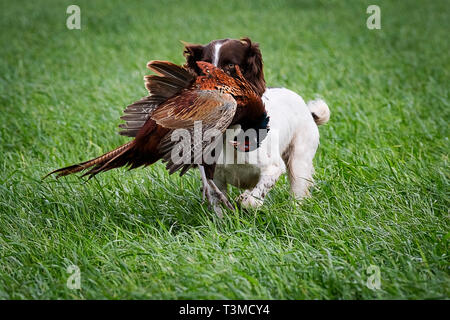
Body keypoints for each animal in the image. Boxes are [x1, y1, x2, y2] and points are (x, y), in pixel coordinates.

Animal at [183, 38, 330, 210]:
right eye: (203, 64)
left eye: (230, 65)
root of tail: (308, 111)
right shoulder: (214, 176)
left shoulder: (273, 166)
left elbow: (251, 201)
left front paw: (248, 202)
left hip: (299, 160)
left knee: (297, 191)